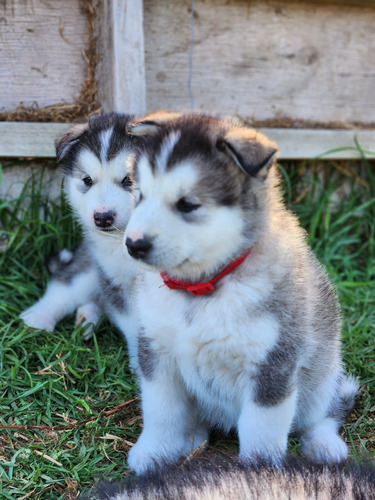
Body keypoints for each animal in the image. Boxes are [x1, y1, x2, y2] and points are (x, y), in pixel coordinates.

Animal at [20, 112, 142, 364]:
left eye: (128, 180)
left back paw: (87, 318)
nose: (103, 217)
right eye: (87, 181)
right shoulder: (115, 279)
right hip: (91, 268)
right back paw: (39, 318)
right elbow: (135, 326)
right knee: (65, 287)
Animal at [122, 112, 358, 472]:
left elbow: (260, 426)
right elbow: (161, 410)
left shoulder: (274, 363)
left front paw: (258, 470)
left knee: (324, 413)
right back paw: (190, 438)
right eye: (140, 195)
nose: (133, 245)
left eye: (187, 204)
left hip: (323, 373)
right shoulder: (156, 351)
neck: (201, 288)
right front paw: (154, 451)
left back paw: (323, 444)